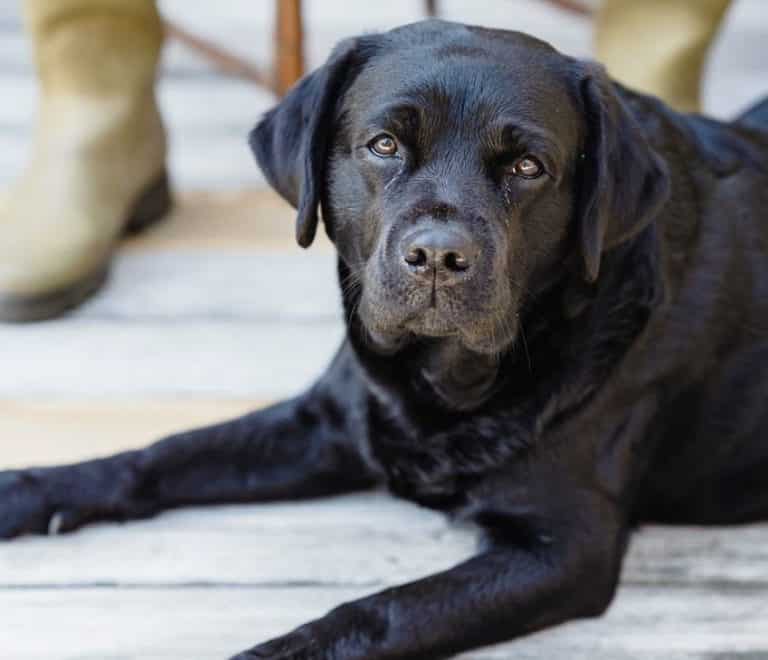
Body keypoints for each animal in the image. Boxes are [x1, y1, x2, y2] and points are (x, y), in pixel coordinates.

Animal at [1, 20, 768, 660]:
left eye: (528, 167)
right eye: (385, 145)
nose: (438, 256)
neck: (444, 380)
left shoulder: (562, 546)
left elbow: (382, 612)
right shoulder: (328, 420)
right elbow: (161, 454)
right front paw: (30, 489)